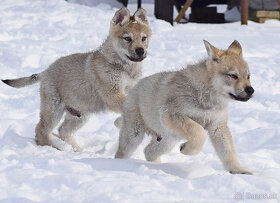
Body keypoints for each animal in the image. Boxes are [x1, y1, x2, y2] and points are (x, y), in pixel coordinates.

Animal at [1, 7, 151, 151]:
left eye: (144, 38)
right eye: (127, 38)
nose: (140, 51)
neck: (123, 66)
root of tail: (46, 71)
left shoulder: (130, 89)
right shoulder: (113, 94)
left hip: (80, 115)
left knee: (63, 131)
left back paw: (76, 150)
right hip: (54, 110)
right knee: (41, 129)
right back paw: (50, 148)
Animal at [115, 40, 255, 174]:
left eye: (248, 76)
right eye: (233, 75)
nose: (251, 90)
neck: (208, 98)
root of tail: (134, 88)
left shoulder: (218, 126)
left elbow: (228, 152)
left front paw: (239, 170)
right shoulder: (172, 114)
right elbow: (199, 133)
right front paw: (186, 149)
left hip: (168, 140)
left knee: (148, 151)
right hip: (134, 136)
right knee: (122, 153)